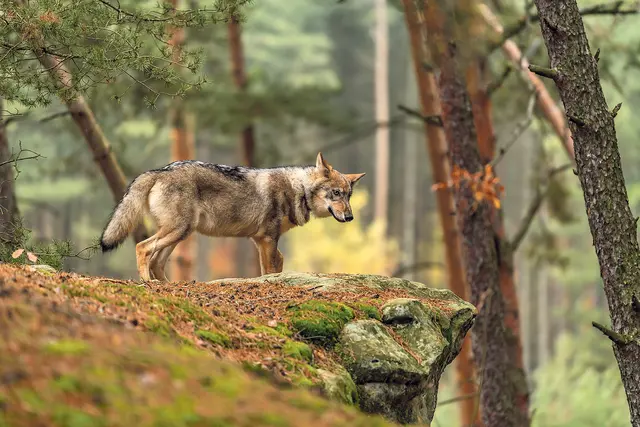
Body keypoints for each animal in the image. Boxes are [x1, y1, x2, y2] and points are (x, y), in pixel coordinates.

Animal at [99, 152, 365, 281]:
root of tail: (158, 171)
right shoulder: (267, 240)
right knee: (143, 248)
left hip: (181, 234)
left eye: (349, 195)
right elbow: (269, 270)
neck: (297, 189)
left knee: (157, 261)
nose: (350, 217)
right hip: (177, 231)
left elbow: (277, 265)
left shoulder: (263, 241)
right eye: (336, 193)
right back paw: (147, 282)